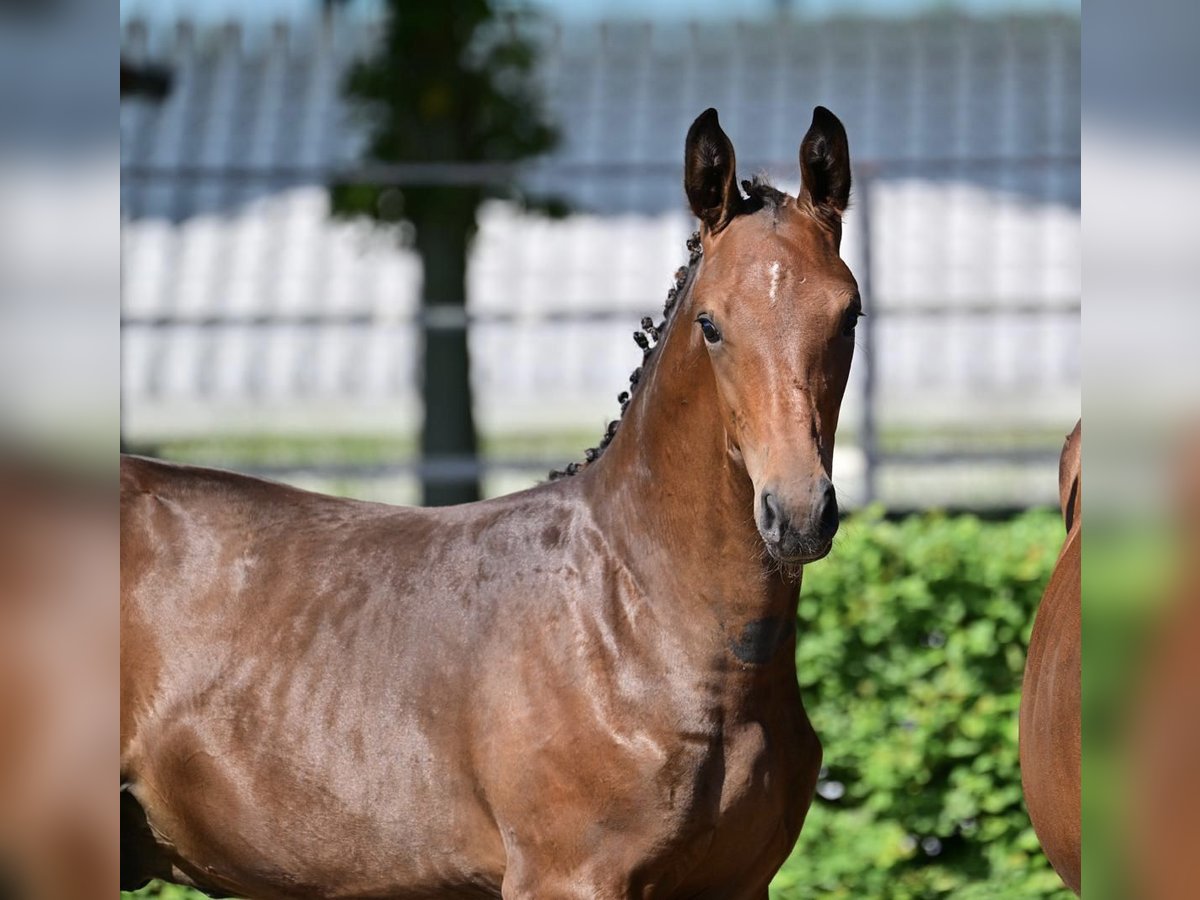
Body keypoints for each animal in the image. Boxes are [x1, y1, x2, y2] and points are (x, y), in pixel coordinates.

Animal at [119, 107, 864, 900]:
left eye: (848, 315)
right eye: (712, 324)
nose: (797, 513)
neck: (639, 623)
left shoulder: (737, 885)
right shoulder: (565, 878)